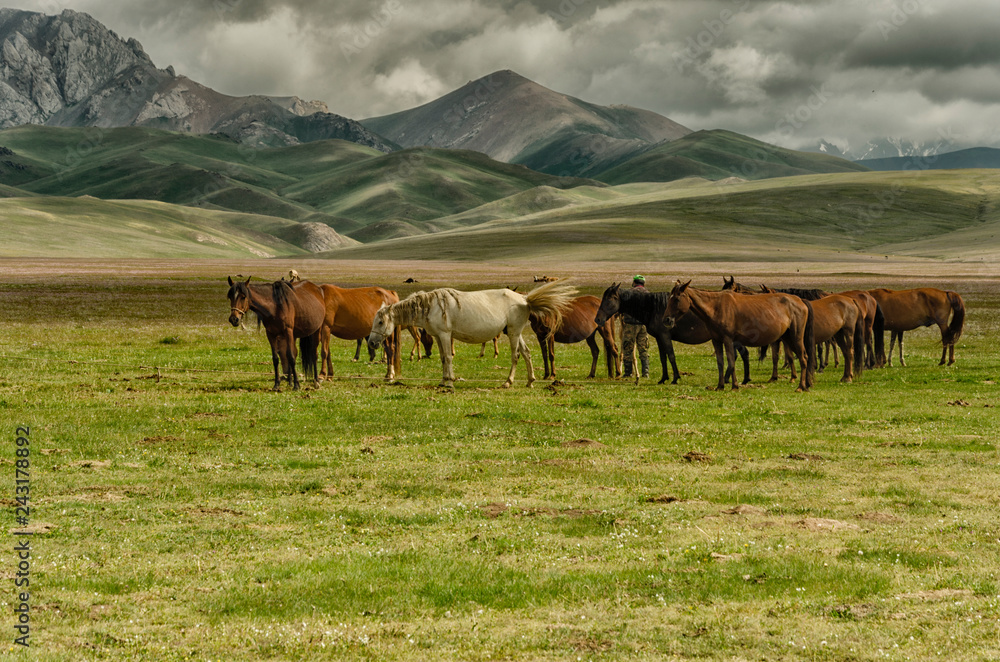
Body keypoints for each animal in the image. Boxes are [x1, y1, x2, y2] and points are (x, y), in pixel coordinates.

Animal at [368, 281, 576, 388]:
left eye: (380, 322)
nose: (372, 342)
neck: (430, 306)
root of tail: (524, 299)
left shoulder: (445, 334)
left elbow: (448, 358)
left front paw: (449, 382)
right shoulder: (438, 336)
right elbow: (442, 358)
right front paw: (443, 380)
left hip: (514, 333)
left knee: (516, 355)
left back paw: (508, 382)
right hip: (514, 332)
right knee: (526, 353)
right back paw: (530, 381)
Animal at [594, 283, 751, 385]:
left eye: (609, 299)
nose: (598, 319)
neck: (653, 307)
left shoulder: (665, 336)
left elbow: (671, 356)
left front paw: (675, 378)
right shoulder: (659, 338)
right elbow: (663, 358)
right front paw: (663, 378)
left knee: (740, 354)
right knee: (742, 354)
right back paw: (742, 379)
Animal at [666, 281, 815, 391]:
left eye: (677, 299)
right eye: (669, 298)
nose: (667, 320)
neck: (716, 307)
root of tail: (800, 301)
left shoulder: (728, 340)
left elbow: (731, 361)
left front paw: (734, 386)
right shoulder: (716, 341)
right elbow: (720, 363)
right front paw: (720, 386)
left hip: (796, 337)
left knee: (803, 358)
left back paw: (801, 387)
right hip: (788, 338)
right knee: (803, 357)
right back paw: (806, 385)